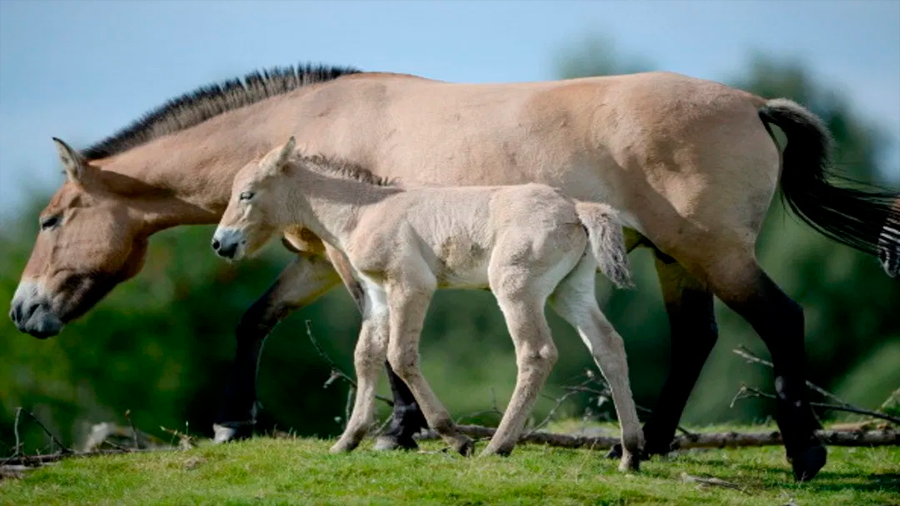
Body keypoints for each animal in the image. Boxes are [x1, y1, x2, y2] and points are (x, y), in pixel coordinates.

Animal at [214, 139, 644, 470]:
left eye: (247, 194)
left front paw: (456, 439)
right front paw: (347, 440)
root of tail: (576, 207)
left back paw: (497, 446)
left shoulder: (411, 285)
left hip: (516, 288)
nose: (220, 243)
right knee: (609, 346)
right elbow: (366, 356)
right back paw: (630, 454)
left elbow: (401, 355)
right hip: (569, 291)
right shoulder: (378, 295)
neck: (365, 209)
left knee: (536, 353)